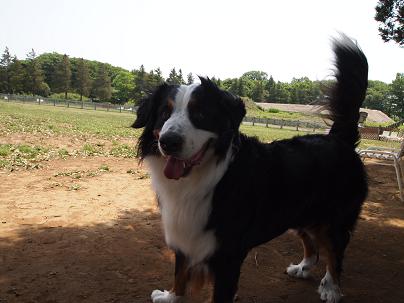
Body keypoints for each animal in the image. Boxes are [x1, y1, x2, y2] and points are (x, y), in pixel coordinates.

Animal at [133, 34, 370, 302]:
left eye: (200, 114)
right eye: (165, 113)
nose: (169, 141)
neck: (208, 177)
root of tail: (338, 138)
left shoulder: (228, 254)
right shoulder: (185, 235)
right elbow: (180, 272)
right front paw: (171, 297)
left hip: (335, 220)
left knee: (334, 253)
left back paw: (331, 287)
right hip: (299, 212)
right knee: (312, 244)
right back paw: (303, 267)